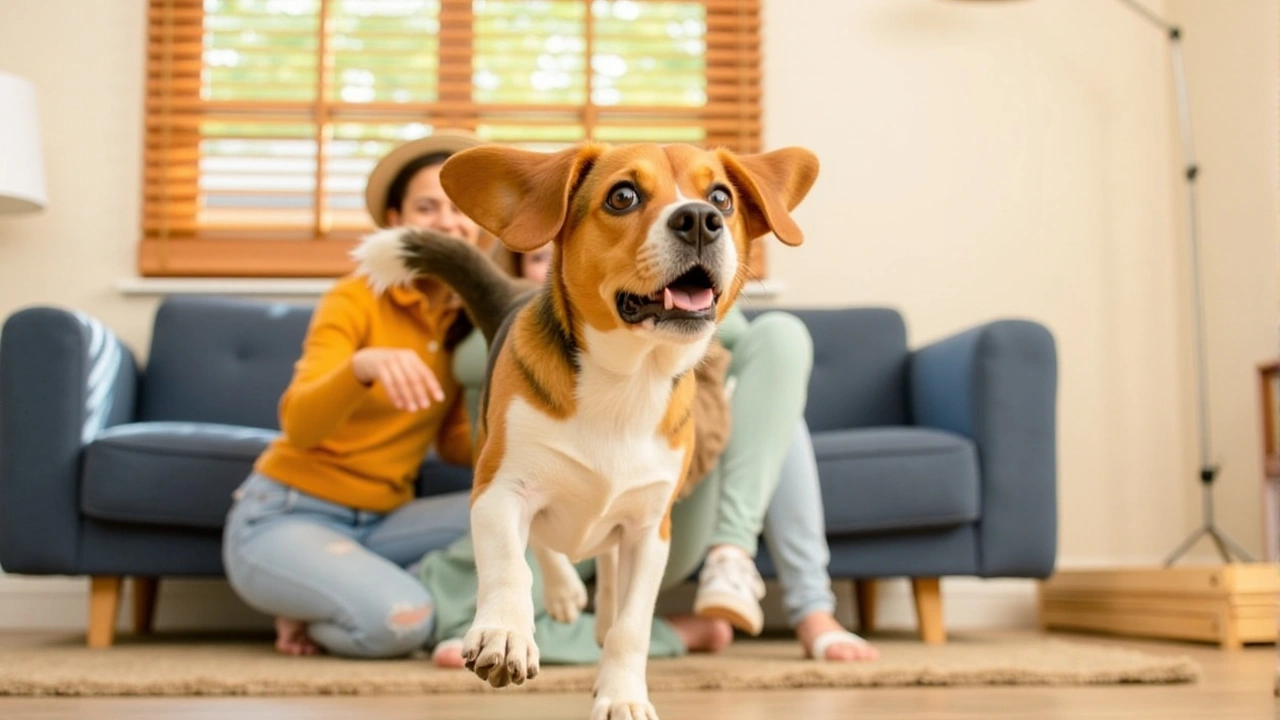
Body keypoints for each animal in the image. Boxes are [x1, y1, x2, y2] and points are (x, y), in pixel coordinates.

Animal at [358, 140, 819, 717]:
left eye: (721, 198)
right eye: (623, 196)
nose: (699, 220)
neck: (626, 381)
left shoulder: (650, 529)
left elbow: (632, 625)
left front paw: (622, 694)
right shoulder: (499, 491)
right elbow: (510, 567)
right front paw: (506, 633)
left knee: (606, 569)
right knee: (542, 545)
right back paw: (561, 592)